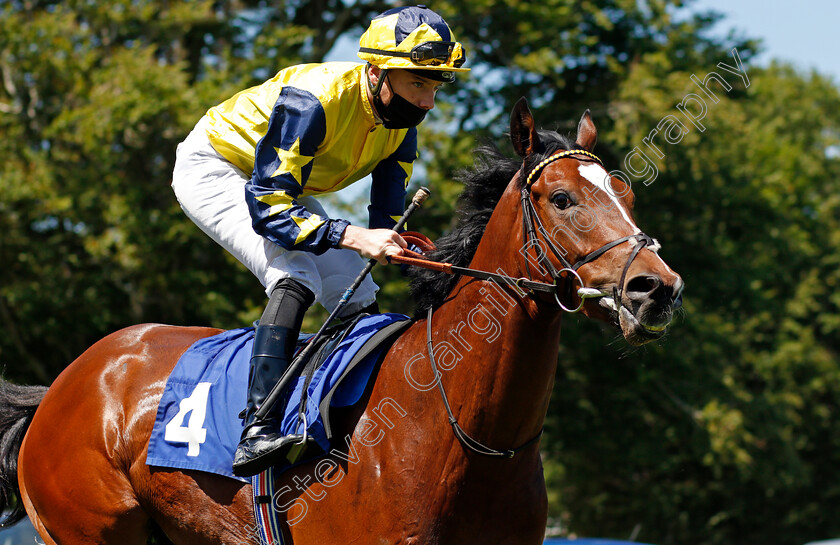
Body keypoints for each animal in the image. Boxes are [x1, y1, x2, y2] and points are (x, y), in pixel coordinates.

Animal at [0, 99, 680, 544]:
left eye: (627, 195)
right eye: (562, 198)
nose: (658, 289)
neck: (458, 430)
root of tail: (64, 384)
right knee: (295, 278)